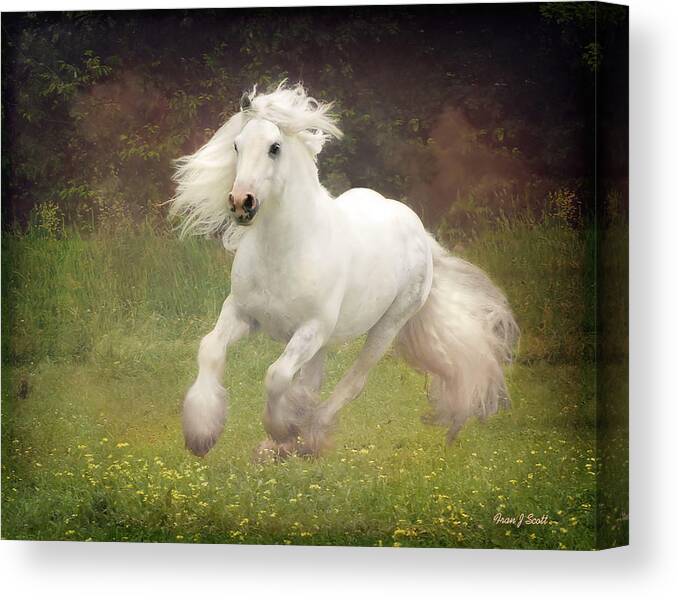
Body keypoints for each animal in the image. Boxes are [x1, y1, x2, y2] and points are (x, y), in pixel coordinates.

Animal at [171, 83, 520, 460]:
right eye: (237, 145)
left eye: (274, 148)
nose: (240, 203)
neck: (285, 250)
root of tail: (420, 233)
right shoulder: (241, 313)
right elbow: (210, 349)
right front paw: (201, 433)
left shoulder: (311, 329)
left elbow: (276, 375)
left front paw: (281, 428)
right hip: (323, 341)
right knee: (312, 381)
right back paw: (284, 443)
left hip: (385, 328)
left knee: (353, 382)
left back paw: (308, 435)